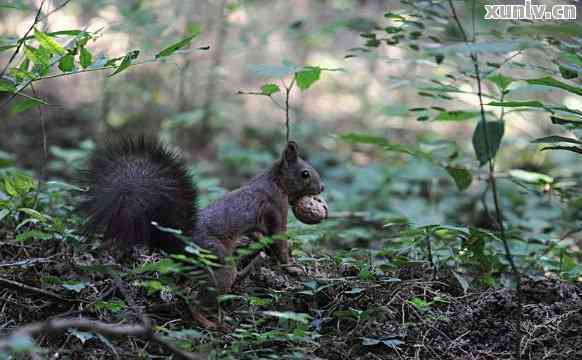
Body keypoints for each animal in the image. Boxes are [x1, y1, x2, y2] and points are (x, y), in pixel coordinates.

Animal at [76, 136, 328, 296]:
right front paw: (292, 267)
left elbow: (263, 236)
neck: (275, 181)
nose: (322, 188)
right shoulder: (275, 206)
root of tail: (180, 239)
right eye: (305, 174)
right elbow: (279, 240)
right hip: (214, 254)